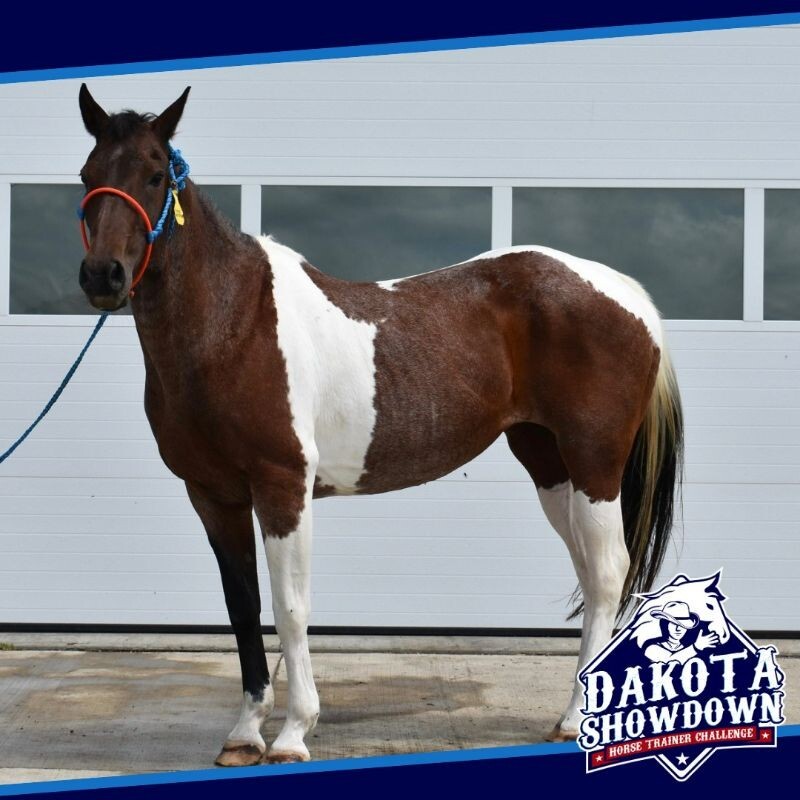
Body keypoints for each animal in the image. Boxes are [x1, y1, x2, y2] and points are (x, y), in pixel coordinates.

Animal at [75, 84, 684, 766]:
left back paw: (576, 718)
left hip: (595, 462)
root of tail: (626, 293)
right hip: (551, 465)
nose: (102, 276)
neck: (233, 325)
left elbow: (289, 607)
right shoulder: (213, 496)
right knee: (588, 569)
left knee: (606, 576)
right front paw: (244, 734)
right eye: (88, 175)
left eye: (155, 174)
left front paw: (293, 733)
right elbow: (242, 606)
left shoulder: (282, 487)